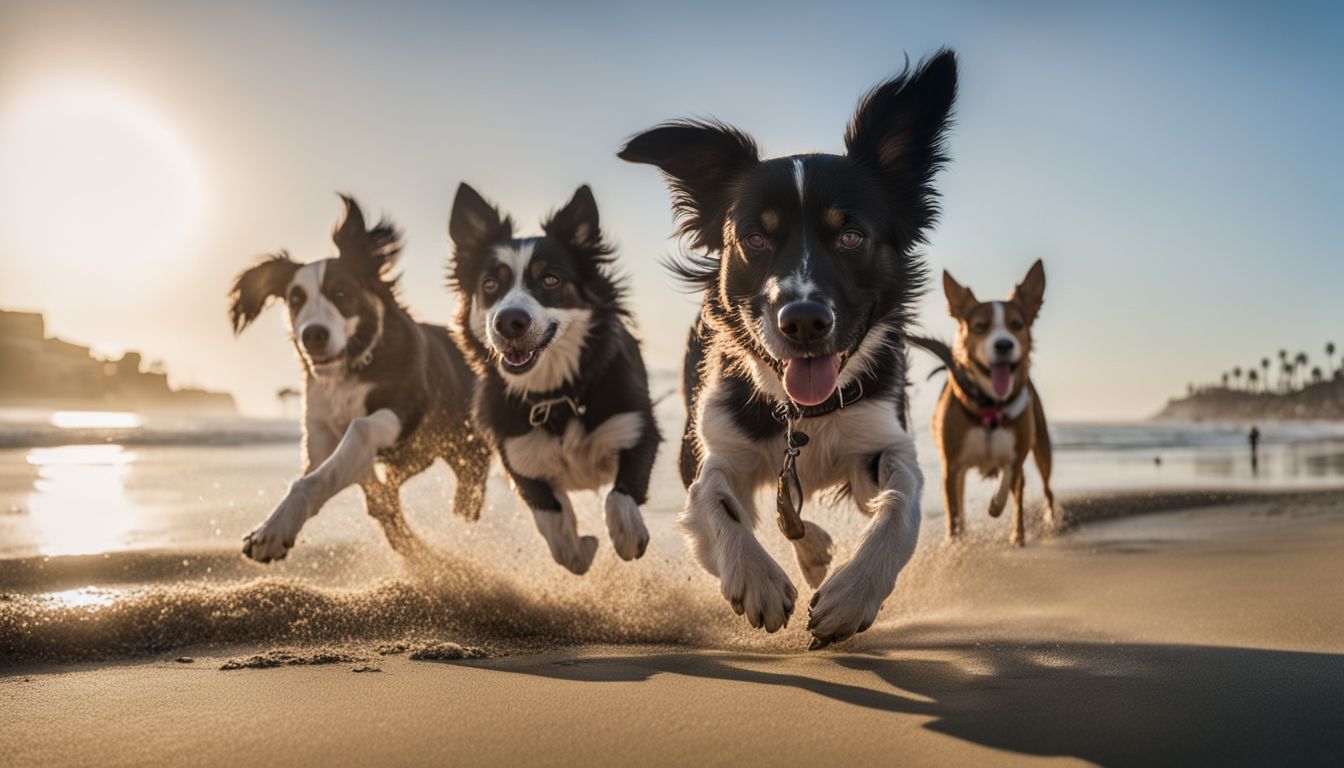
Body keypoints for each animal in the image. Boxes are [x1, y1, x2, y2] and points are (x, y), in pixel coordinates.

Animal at [231, 195, 494, 562]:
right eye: (295, 299)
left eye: (341, 292)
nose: (313, 335)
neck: (351, 370)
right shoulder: (319, 433)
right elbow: (330, 471)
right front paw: (277, 522)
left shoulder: (404, 410)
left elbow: (358, 432)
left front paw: (273, 530)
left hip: (469, 456)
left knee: (467, 498)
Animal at [451, 182, 661, 572]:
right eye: (490, 284)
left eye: (550, 279)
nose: (509, 322)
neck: (557, 394)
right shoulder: (519, 455)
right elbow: (555, 528)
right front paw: (583, 549)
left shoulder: (635, 427)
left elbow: (619, 497)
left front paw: (628, 538)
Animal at [623, 49, 962, 648]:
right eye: (755, 237)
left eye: (851, 236)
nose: (803, 320)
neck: (804, 414)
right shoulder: (711, 446)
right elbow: (714, 500)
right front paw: (756, 579)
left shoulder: (881, 440)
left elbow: (899, 503)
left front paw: (853, 594)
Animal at [913, 260, 1059, 548]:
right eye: (980, 327)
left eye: (1017, 325)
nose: (1003, 344)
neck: (990, 406)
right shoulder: (951, 466)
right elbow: (953, 510)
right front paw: (954, 543)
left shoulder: (1016, 455)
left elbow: (1009, 479)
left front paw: (998, 509)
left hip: (1042, 449)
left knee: (1043, 489)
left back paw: (1040, 526)